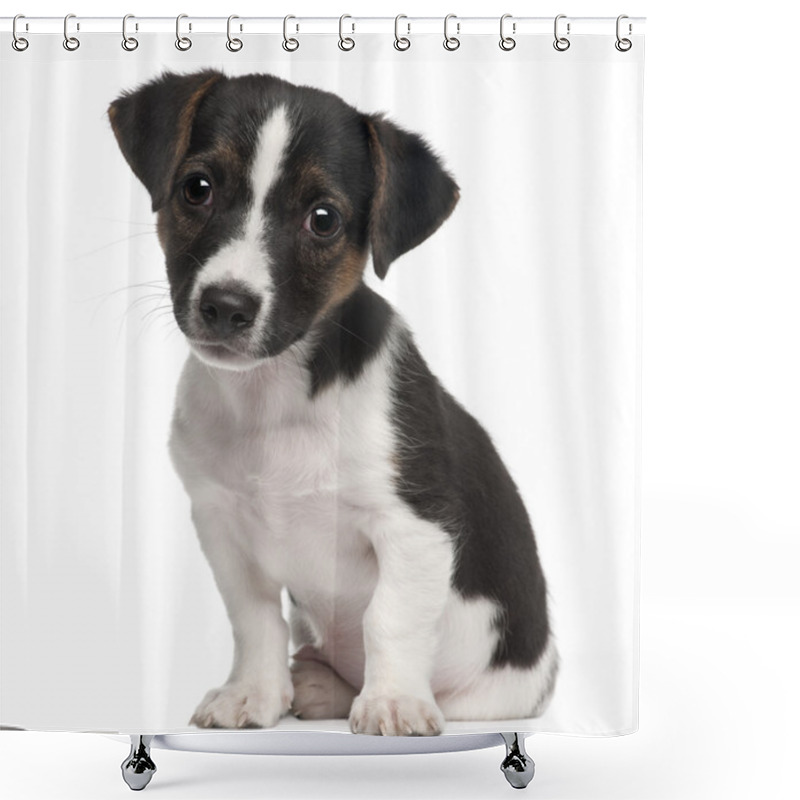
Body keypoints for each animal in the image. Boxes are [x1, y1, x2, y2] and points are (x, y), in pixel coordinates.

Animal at [108, 72, 556, 736]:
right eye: (197, 188)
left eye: (323, 219)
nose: (226, 305)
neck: (273, 396)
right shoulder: (220, 523)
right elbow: (254, 619)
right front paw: (254, 693)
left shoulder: (414, 525)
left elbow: (389, 618)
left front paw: (392, 702)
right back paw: (320, 684)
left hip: (493, 697)